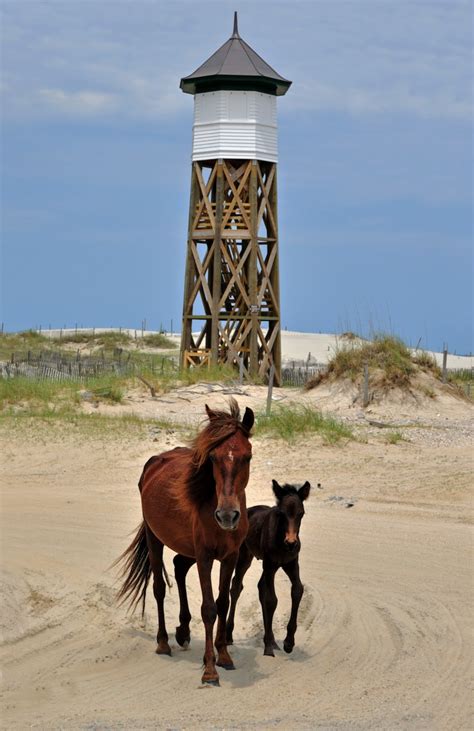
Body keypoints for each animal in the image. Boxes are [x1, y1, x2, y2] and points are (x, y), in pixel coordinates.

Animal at [114, 400, 254, 688]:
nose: (227, 516)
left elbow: (223, 603)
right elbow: (209, 608)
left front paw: (224, 656)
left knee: (179, 566)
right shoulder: (205, 556)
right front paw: (210, 670)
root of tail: (154, 463)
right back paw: (164, 642)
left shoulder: (230, 556)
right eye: (212, 458)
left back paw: (183, 630)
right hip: (155, 540)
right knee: (158, 587)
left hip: (186, 547)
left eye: (247, 456)